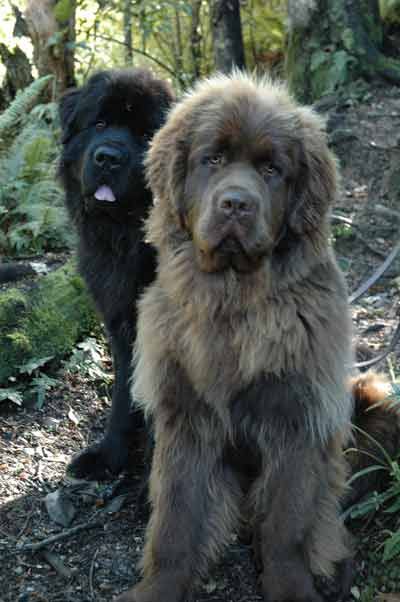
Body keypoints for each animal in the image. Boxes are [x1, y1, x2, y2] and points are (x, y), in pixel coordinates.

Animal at [59, 67, 173, 478]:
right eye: (100, 123)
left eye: (143, 135)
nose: (108, 158)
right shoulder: (122, 327)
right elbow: (124, 395)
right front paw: (110, 456)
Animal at [115, 74, 356, 600]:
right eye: (213, 159)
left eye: (271, 169)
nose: (236, 204)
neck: (233, 302)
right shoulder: (185, 416)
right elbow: (176, 519)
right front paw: (161, 586)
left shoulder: (297, 415)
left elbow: (287, 524)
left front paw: (290, 587)